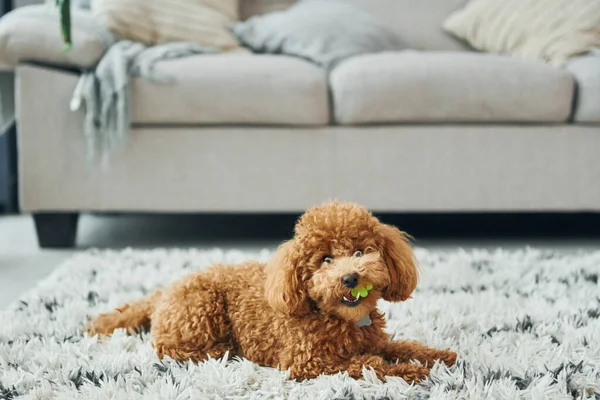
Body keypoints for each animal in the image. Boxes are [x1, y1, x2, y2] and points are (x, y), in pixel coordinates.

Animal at [88, 202, 454, 382]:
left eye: (362, 251)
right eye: (325, 259)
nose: (350, 278)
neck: (342, 319)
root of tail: (164, 291)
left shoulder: (375, 340)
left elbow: (402, 347)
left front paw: (439, 356)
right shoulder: (310, 363)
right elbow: (371, 365)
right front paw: (409, 372)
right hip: (201, 308)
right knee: (169, 348)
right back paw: (221, 350)